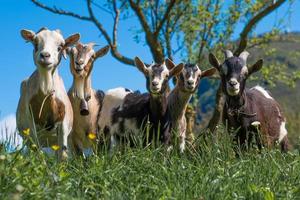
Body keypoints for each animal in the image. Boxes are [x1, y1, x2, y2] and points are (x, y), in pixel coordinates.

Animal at [16, 27, 79, 159]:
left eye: (60, 46)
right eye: (35, 43)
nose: (45, 55)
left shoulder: (64, 125)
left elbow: (63, 155)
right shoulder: (31, 124)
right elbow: (38, 152)